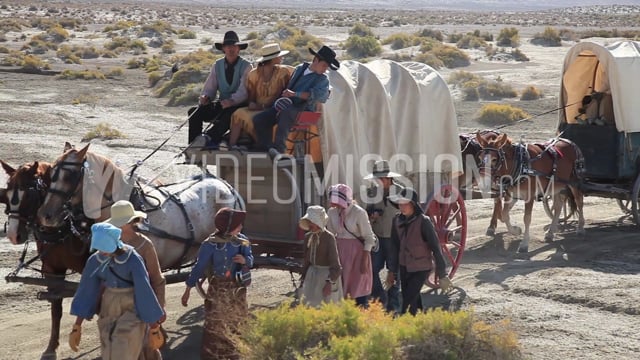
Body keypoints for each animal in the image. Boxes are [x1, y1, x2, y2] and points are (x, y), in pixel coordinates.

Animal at [0, 160, 90, 360]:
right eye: (7, 192)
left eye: (29, 194)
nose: (13, 235)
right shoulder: (52, 270)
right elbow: (56, 309)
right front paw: (51, 348)